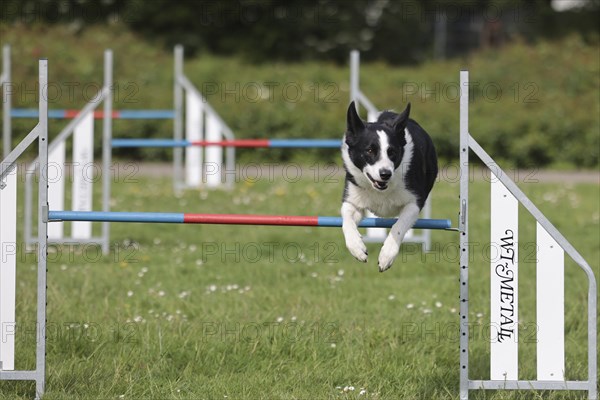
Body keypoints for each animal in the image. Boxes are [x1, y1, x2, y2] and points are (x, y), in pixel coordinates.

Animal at [342, 101, 436, 272]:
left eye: (392, 152)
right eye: (370, 150)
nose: (385, 174)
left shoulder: (414, 202)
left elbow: (398, 226)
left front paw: (387, 255)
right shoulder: (352, 200)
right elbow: (346, 221)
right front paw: (357, 248)